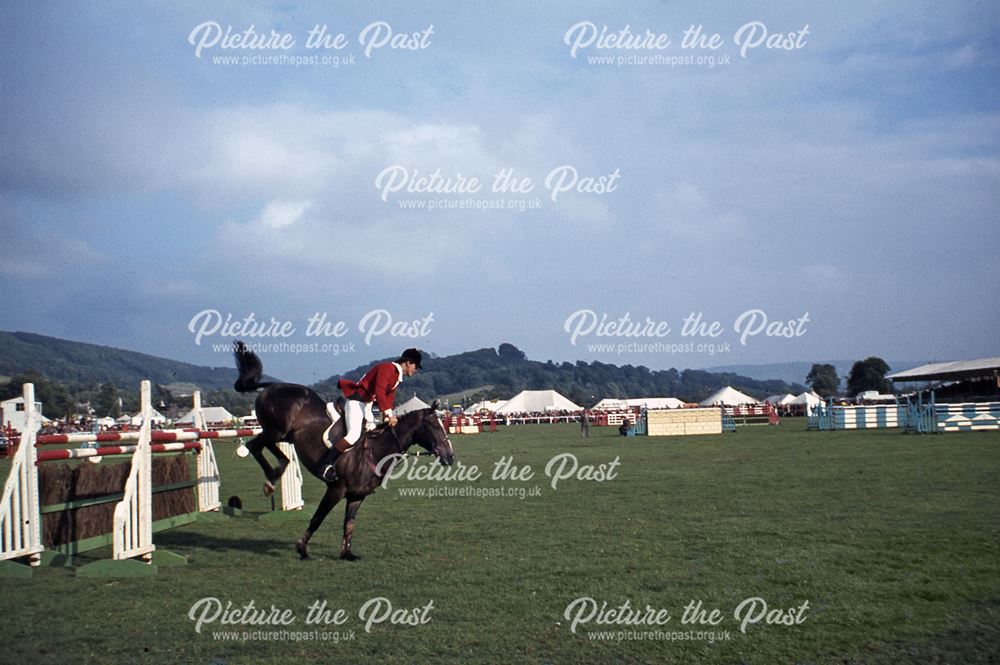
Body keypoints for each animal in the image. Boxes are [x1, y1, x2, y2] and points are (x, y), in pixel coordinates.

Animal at [232, 342, 456, 560]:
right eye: (435, 426)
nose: (450, 457)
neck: (375, 451)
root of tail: (273, 386)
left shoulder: (356, 496)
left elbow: (349, 524)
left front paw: (347, 553)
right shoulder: (335, 490)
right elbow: (317, 518)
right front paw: (302, 549)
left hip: (283, 435)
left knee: (266, 448)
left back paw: (276, 473)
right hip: (277, 430)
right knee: (254, 446)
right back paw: (272, 479)